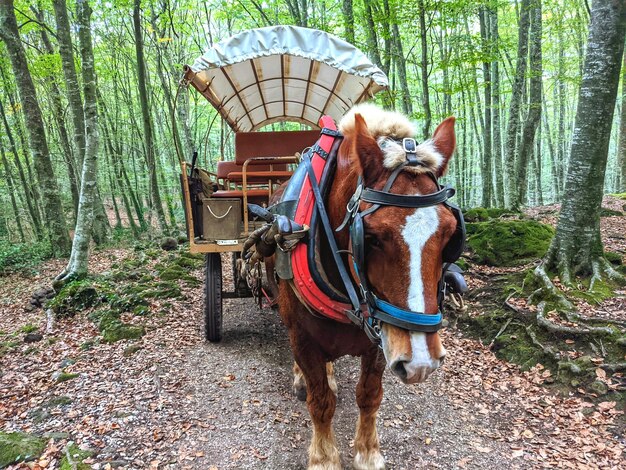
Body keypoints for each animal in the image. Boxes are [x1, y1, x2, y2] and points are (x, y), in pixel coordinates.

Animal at [266, 103, 456, 470]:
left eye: (451, 234)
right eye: (371, 237)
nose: (422, 363)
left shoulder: (382, 338)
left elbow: (369, 395)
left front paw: (368, 452)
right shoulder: (303, 337)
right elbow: (320, 401)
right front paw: (324, 458)